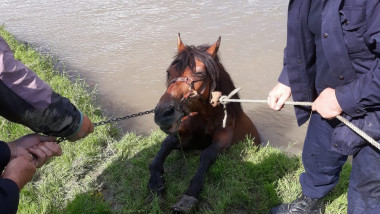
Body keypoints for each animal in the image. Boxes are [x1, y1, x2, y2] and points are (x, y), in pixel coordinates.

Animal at [147, 34, 260, 211]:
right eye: (169, 72)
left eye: (199, 74)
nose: (163, 114)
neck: (206, 116)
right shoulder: (185, 139)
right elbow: (166, 143)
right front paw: (155, 181)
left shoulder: (223, 138)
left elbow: (207, 154)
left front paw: (191, 193)